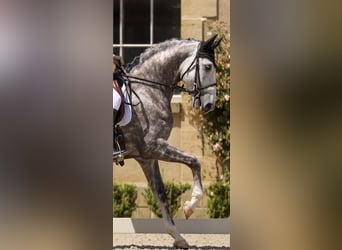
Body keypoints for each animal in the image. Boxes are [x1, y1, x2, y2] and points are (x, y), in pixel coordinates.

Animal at [116, 35, 220, 248]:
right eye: (207, 67)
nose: (210, 105)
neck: (148, 91)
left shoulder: (147, 158)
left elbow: (160, 193)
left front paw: (178, 236)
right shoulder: (154, 146)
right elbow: (194, 161)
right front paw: (190, 206)